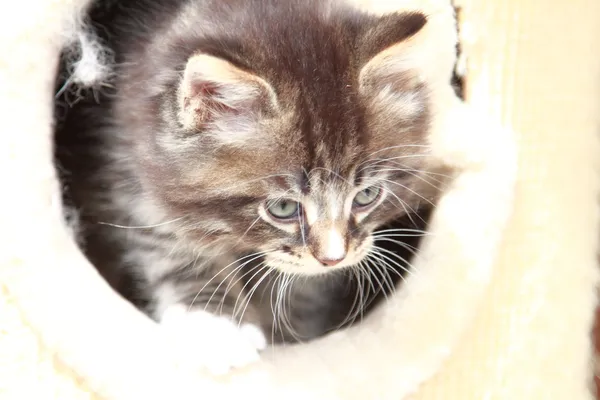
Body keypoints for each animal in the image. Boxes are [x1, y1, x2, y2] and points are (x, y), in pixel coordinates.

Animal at [54, 0, 440, 372]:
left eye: (366, 196)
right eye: (283, 208)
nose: (333, 258)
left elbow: (298, 290)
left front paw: (284, 332)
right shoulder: (128, 166)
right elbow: (173, 246)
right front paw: (213, 325)